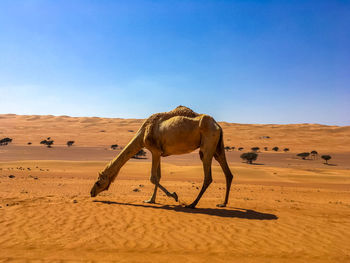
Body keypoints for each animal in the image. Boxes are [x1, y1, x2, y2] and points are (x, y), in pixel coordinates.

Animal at [89, 106, 232, 209]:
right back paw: (223, 203)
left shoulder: (155, 150)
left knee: (208, 176)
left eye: (98, 182)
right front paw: (151, 200)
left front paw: (174, 196)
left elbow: (153, 177)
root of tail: (218, 126)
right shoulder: (159, 153)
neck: (142, 134)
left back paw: (192, 204)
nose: (91, 192)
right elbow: (158, 176)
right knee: (228, 173)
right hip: (218, 147)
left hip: (208, 144)